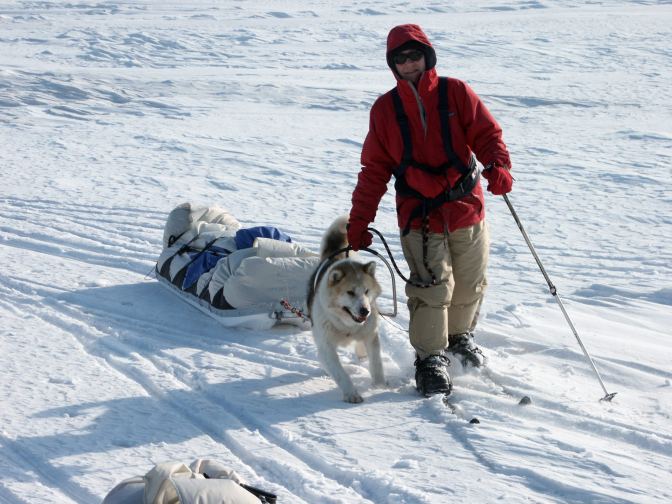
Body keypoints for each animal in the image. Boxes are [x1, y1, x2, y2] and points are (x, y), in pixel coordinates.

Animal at [308, 216, 384, 402]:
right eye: (350, 292)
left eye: (366, 291)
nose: (365, 311)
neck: (348, 326)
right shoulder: (326, 346)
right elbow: (340, 373)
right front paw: (351, 393)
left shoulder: (371, 335)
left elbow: (376, 363)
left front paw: (380, 386)